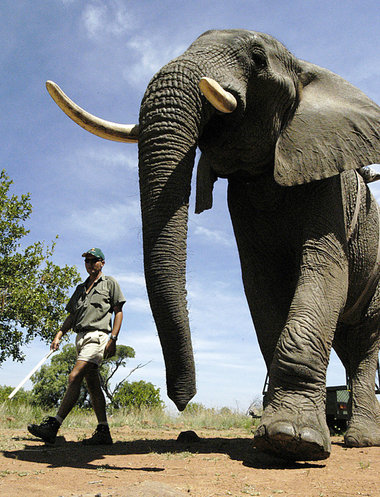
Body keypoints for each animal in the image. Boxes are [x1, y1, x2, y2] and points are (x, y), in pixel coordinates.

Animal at [45, 29, 380, 460]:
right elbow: (262, 289)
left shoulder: (329, 183)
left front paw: (293, 440)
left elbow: (322, 272)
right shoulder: (244, 201)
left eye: (257, 58)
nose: (182, 400)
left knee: (364, 344)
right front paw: (281, 437)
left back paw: (361, 440)